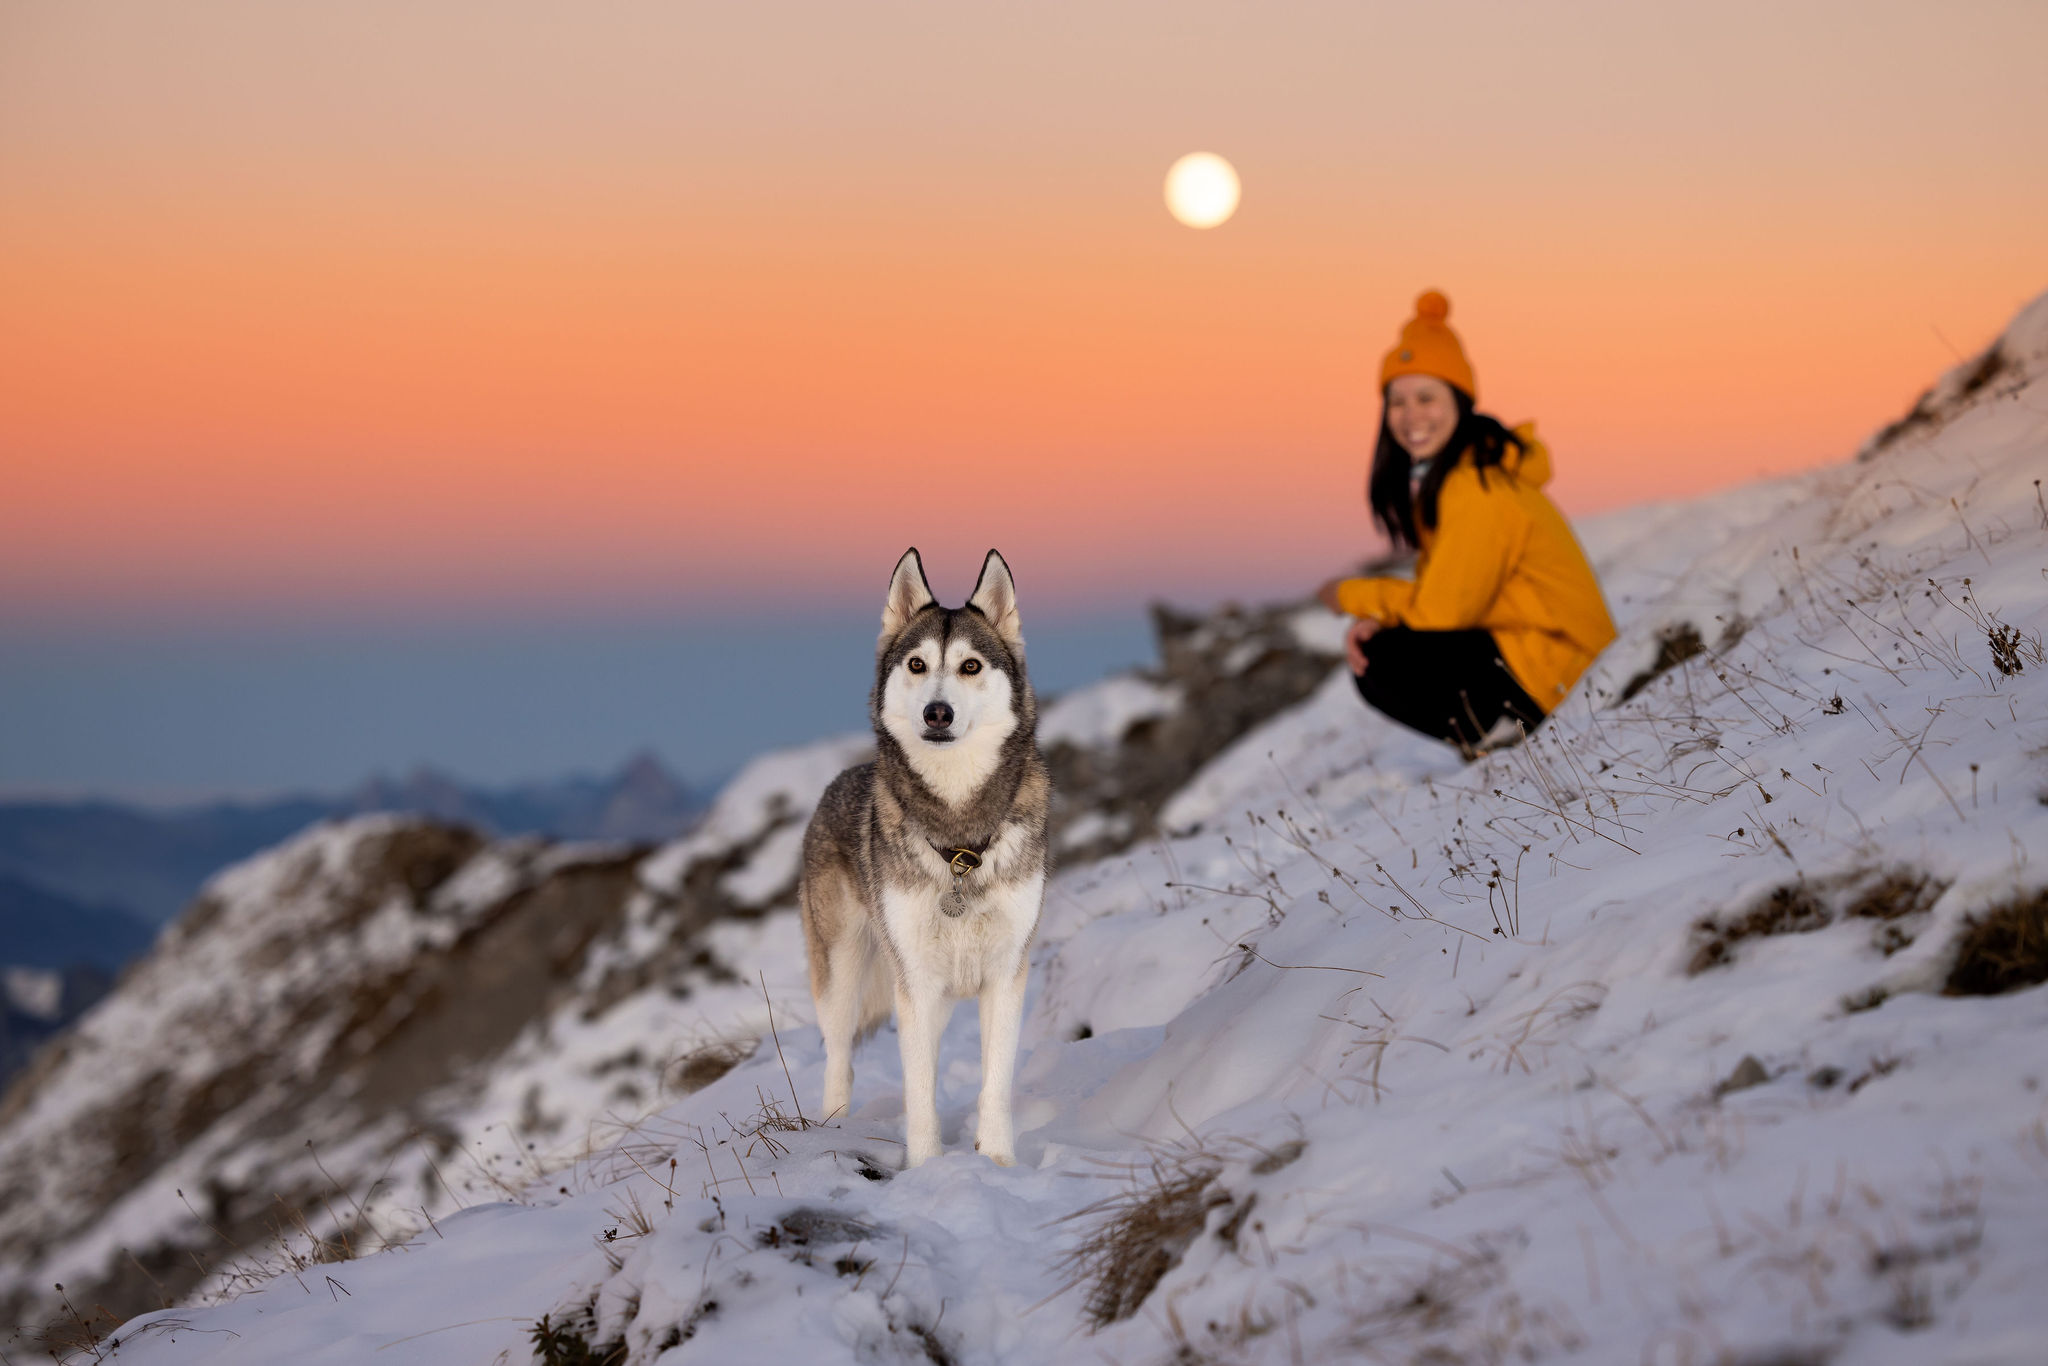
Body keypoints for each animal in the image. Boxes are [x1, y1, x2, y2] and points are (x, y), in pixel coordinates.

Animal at [794, 548, 1048, 1171]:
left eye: (971, 667)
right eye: (916, 664)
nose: (937, 713)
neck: (960, 843)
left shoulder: (1006, 972)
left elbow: (994, 1083)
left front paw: (997, 1163)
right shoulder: (916, 981)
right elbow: (920, 1091)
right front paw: (929, 1169)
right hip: (845, 972)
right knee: (840, 1059)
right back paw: (833, 1128)